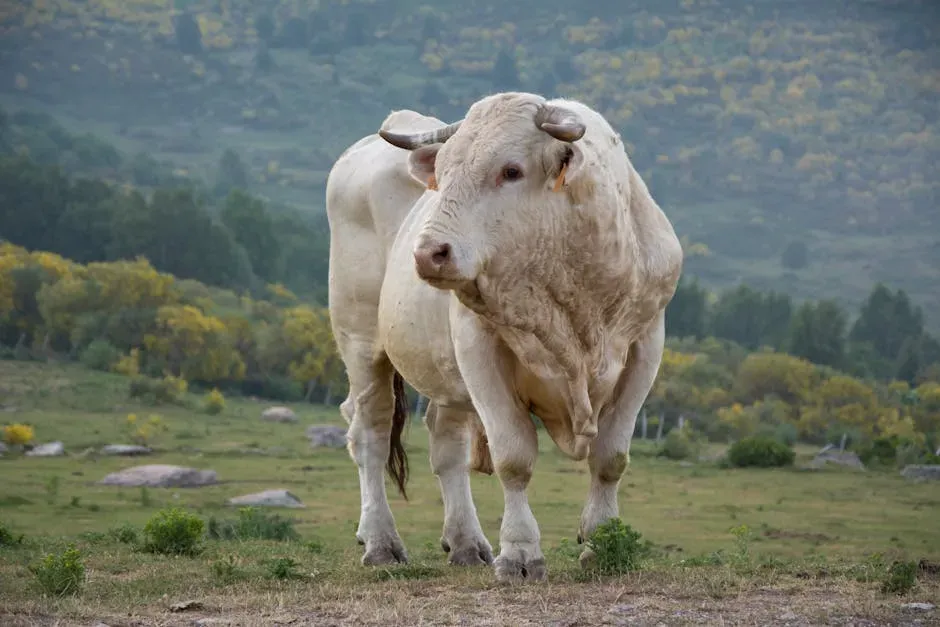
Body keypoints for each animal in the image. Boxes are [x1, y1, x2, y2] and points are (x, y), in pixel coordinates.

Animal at [325, 91, 683, 582]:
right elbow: (513, 456)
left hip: (443, 368)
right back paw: (381, 542)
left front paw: (602, 544)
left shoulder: (645, 345)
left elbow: (611, 457)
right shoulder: (480, 347)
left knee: (446, 443)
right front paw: (519, 552)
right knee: (370, 433)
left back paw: (465, 542)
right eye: (444, 173)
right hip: (361, 341)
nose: (429, 254)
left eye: (511, 170)